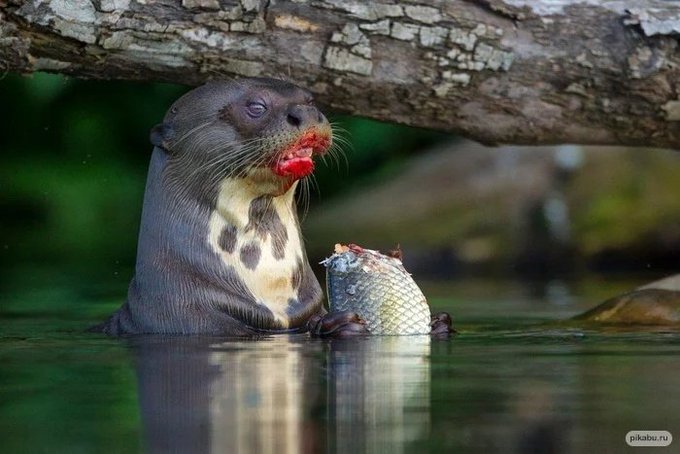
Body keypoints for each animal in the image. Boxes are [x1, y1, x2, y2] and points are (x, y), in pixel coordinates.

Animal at [97, 78, 451, 337]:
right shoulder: (191, 320)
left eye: (311, 100)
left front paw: (439, 323)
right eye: (256, 106)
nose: (307, 114)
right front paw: (339, 326)